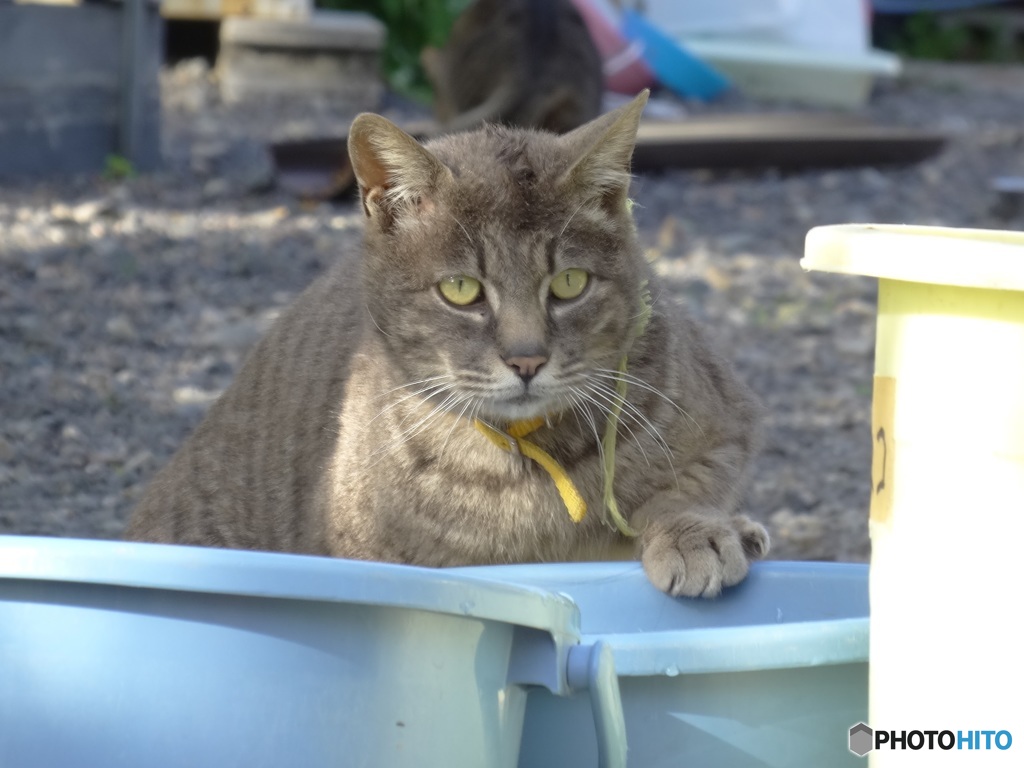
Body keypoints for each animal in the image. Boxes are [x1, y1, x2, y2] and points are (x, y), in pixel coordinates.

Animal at [125, 93, 770, 598]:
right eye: (461, 290)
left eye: (569, 283)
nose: (527, 359)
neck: (525, 463)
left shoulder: (726, 418)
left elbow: (686, 487)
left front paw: (696, 531)